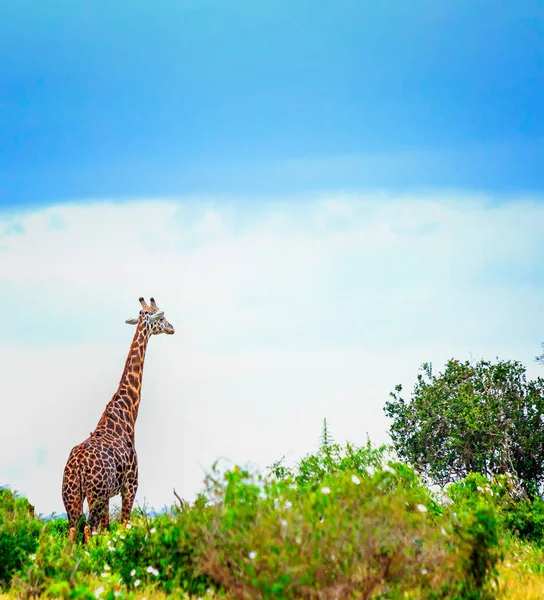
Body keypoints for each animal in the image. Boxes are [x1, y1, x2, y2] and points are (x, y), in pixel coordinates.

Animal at [62, 296, 175, 544]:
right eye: (161, 318)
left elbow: (107, 530)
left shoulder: (109, 495)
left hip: (72, 495)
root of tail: (77, 467)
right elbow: (123, 526)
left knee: (73, 531)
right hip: (94, 494)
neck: (126, 415)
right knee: (88, 528)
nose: (172, 328)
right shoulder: (130, 485)